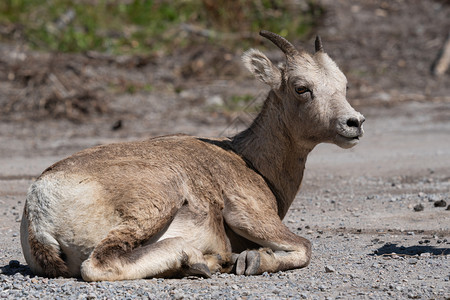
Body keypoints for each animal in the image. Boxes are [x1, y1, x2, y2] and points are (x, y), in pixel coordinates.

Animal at [20, 30, 366, 282]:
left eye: (344, 85)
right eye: (301, 88)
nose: (355, 123)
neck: (249, 161)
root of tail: (41, 205)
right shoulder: (252, 217)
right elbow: (305, 247)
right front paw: (250, 260)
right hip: (156, 202)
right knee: (99, 265)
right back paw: (200, 260)